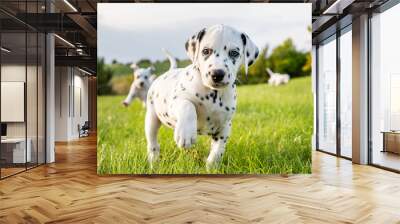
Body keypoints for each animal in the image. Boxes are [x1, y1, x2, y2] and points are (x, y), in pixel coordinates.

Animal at [144, 24, 260, 169]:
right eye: (206, 51)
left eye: (234, 53)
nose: (217, 74)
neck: (213, 93)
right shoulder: (175, 102)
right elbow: (188, 105)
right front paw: (186, 133)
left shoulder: (225, 126)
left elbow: (217, 151)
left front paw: (211, 167)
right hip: (151, 118)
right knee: (152, 143)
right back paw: (154, 161)